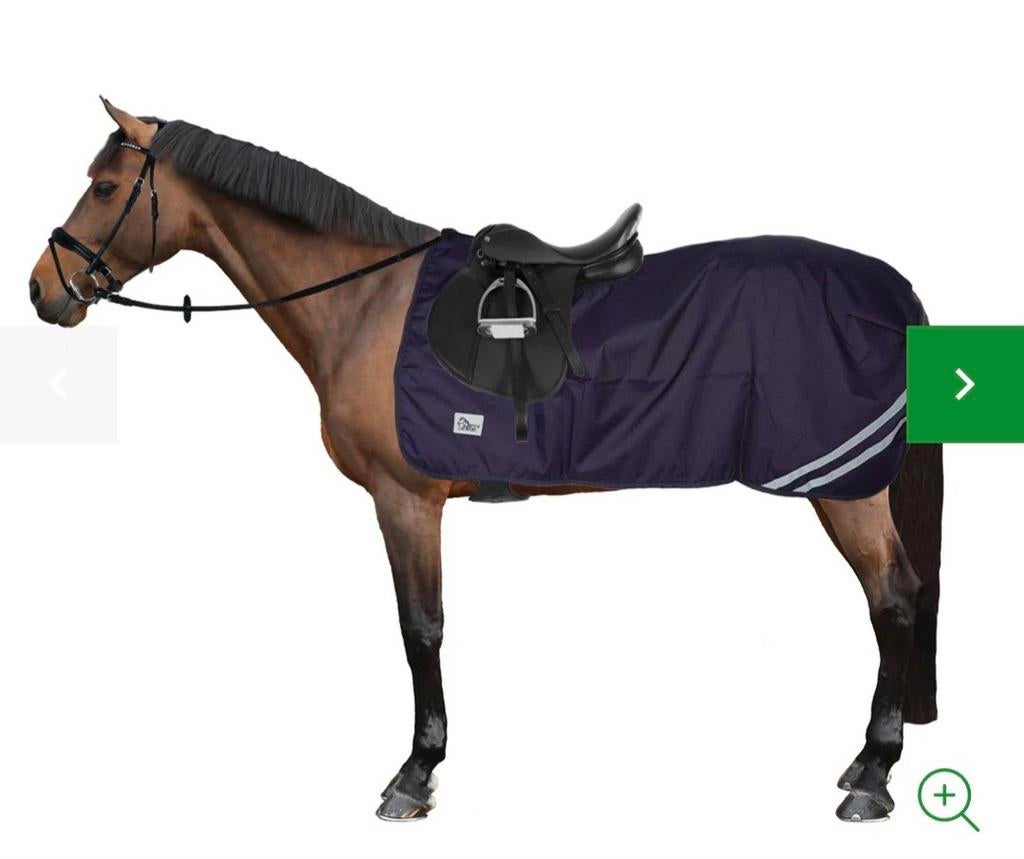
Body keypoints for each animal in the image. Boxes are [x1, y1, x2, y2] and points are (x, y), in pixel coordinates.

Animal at [28, 99, 943, 823]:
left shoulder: (405, 499)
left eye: (104, 187)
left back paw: (874, 773)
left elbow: (420, 628)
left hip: (843, 489)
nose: (43, 288)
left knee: (893, 598)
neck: (364, 301)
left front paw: (415, 772)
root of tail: (887, 291)